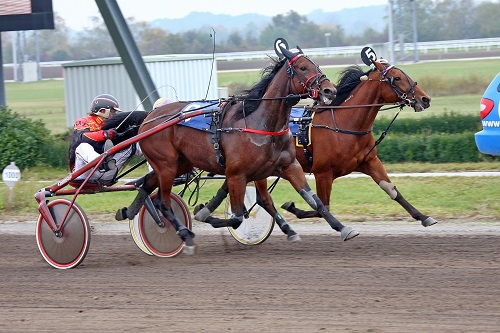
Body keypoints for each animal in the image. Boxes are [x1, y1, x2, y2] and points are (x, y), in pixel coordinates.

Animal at [117, 39, 360, 253]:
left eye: (316, 65)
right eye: (302, 67)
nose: (330, 90)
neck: (260, 123)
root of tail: (149, 117)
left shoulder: (290, 166)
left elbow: (315, 201)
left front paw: (343, 228)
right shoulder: (236, 174)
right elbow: (236, 218)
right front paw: (204, 213)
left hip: (180, 163)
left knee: (147, 186)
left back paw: (128, 211)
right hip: (166, 165)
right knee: (164, 202)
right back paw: (185, 234)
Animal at [282, 58, 438, 227]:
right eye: (397, 78)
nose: (425, 99)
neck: (345, 124)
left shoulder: (370, 161)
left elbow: (392, 190)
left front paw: (423, 216)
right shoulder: (323, 173)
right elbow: (322, 207)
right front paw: (291, 207)